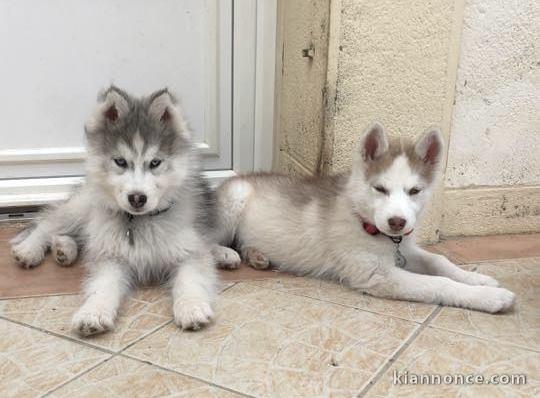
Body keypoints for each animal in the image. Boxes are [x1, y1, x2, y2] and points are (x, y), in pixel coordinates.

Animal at [10, 86, 217, 332]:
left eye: (155, 163)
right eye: (120, 162)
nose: (137, 198)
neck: (139, 222)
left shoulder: (190, 250)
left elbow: (190, 279)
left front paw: (192, 307)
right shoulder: (111, 256)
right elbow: (103, 286)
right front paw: (93, 312)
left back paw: (63, 249)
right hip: (82, 207)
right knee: (48, 223)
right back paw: (30, 249)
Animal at [213, 124, 516, 314]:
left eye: (415, 191)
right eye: (380, 189)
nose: (397, 222)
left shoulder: (405, 248)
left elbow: (440, 261)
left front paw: (479, 280)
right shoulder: (377, 275)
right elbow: (438, 283)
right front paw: (490, 297)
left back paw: (256, 254)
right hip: (233, 202)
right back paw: (226, 255)